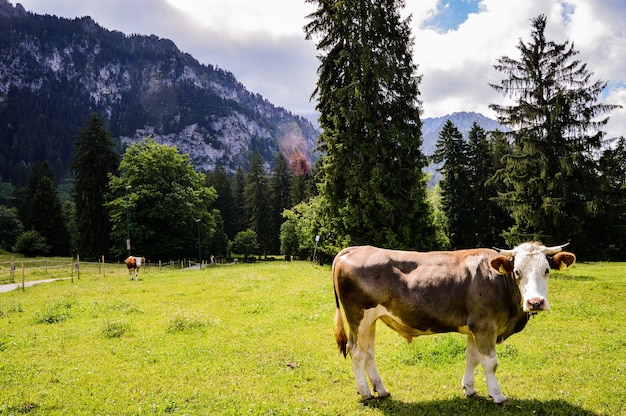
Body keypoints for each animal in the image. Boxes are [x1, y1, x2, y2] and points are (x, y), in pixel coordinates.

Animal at [332, 242, 576, 404]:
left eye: (546, 270)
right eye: (517, 271)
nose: (535, 302)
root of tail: (355, 248)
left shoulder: (474, 328)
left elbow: (472, 359)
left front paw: (469, 389)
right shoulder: (485, 326)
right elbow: (490, 362)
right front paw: (497, 395)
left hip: (370, 320)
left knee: (369, 353)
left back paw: (381, 390)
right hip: (359, 316)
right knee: (357, 352)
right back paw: (365, 393)